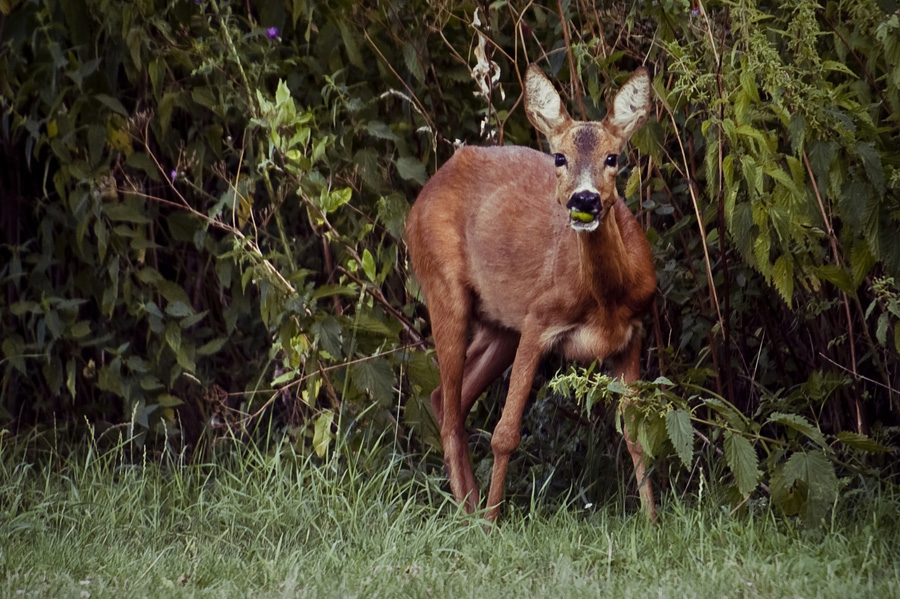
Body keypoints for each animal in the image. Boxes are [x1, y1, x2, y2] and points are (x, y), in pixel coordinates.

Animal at [406, 65, 652, 524]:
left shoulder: (632, 333)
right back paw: (472, 516)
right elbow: (505, 434)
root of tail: (423, 194)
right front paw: (492, 523)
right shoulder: (539, 320)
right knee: (449, 411)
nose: (585, 199)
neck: (605, 300)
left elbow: (635, 433)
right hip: (443, 287)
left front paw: (652, 520)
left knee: (446, 400)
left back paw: (468, 507)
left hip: (502, 324)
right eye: (559, 157)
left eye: (613, 158)